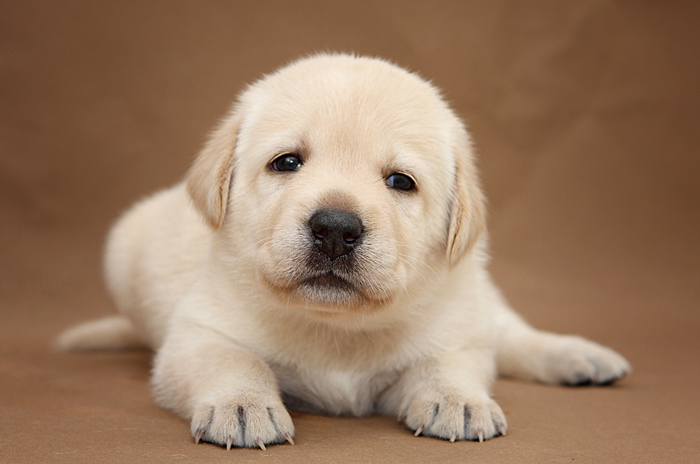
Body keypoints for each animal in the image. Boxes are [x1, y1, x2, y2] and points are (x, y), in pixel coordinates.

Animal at [57, 53, 632, 450]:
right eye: (287, 162)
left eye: (401, 181)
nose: (335, 228)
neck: (337, 327)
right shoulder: (198, 331)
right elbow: (231, 357)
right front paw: (242, 405)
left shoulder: (453, 326)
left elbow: (451, 360)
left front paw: (459, 399)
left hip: (480, 295)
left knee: (510, 333)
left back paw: (581, 356)